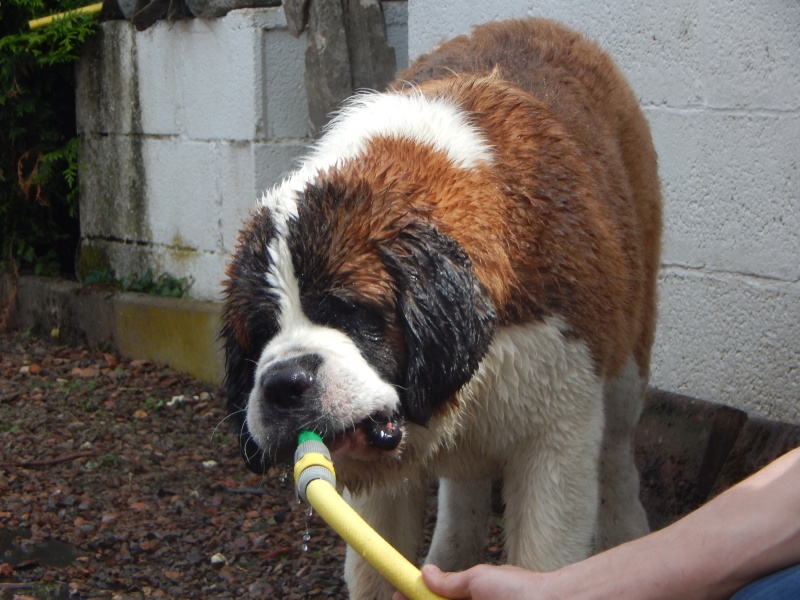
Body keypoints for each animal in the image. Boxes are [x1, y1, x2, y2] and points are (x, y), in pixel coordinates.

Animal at [220, 17, 664, 600]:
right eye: (260, 334)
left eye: (351, 312)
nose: (283, 384)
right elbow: (375, 564)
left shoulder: (558, 430)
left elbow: (545, 558)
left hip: (627, 357)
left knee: (616, 450)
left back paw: (627, 532)